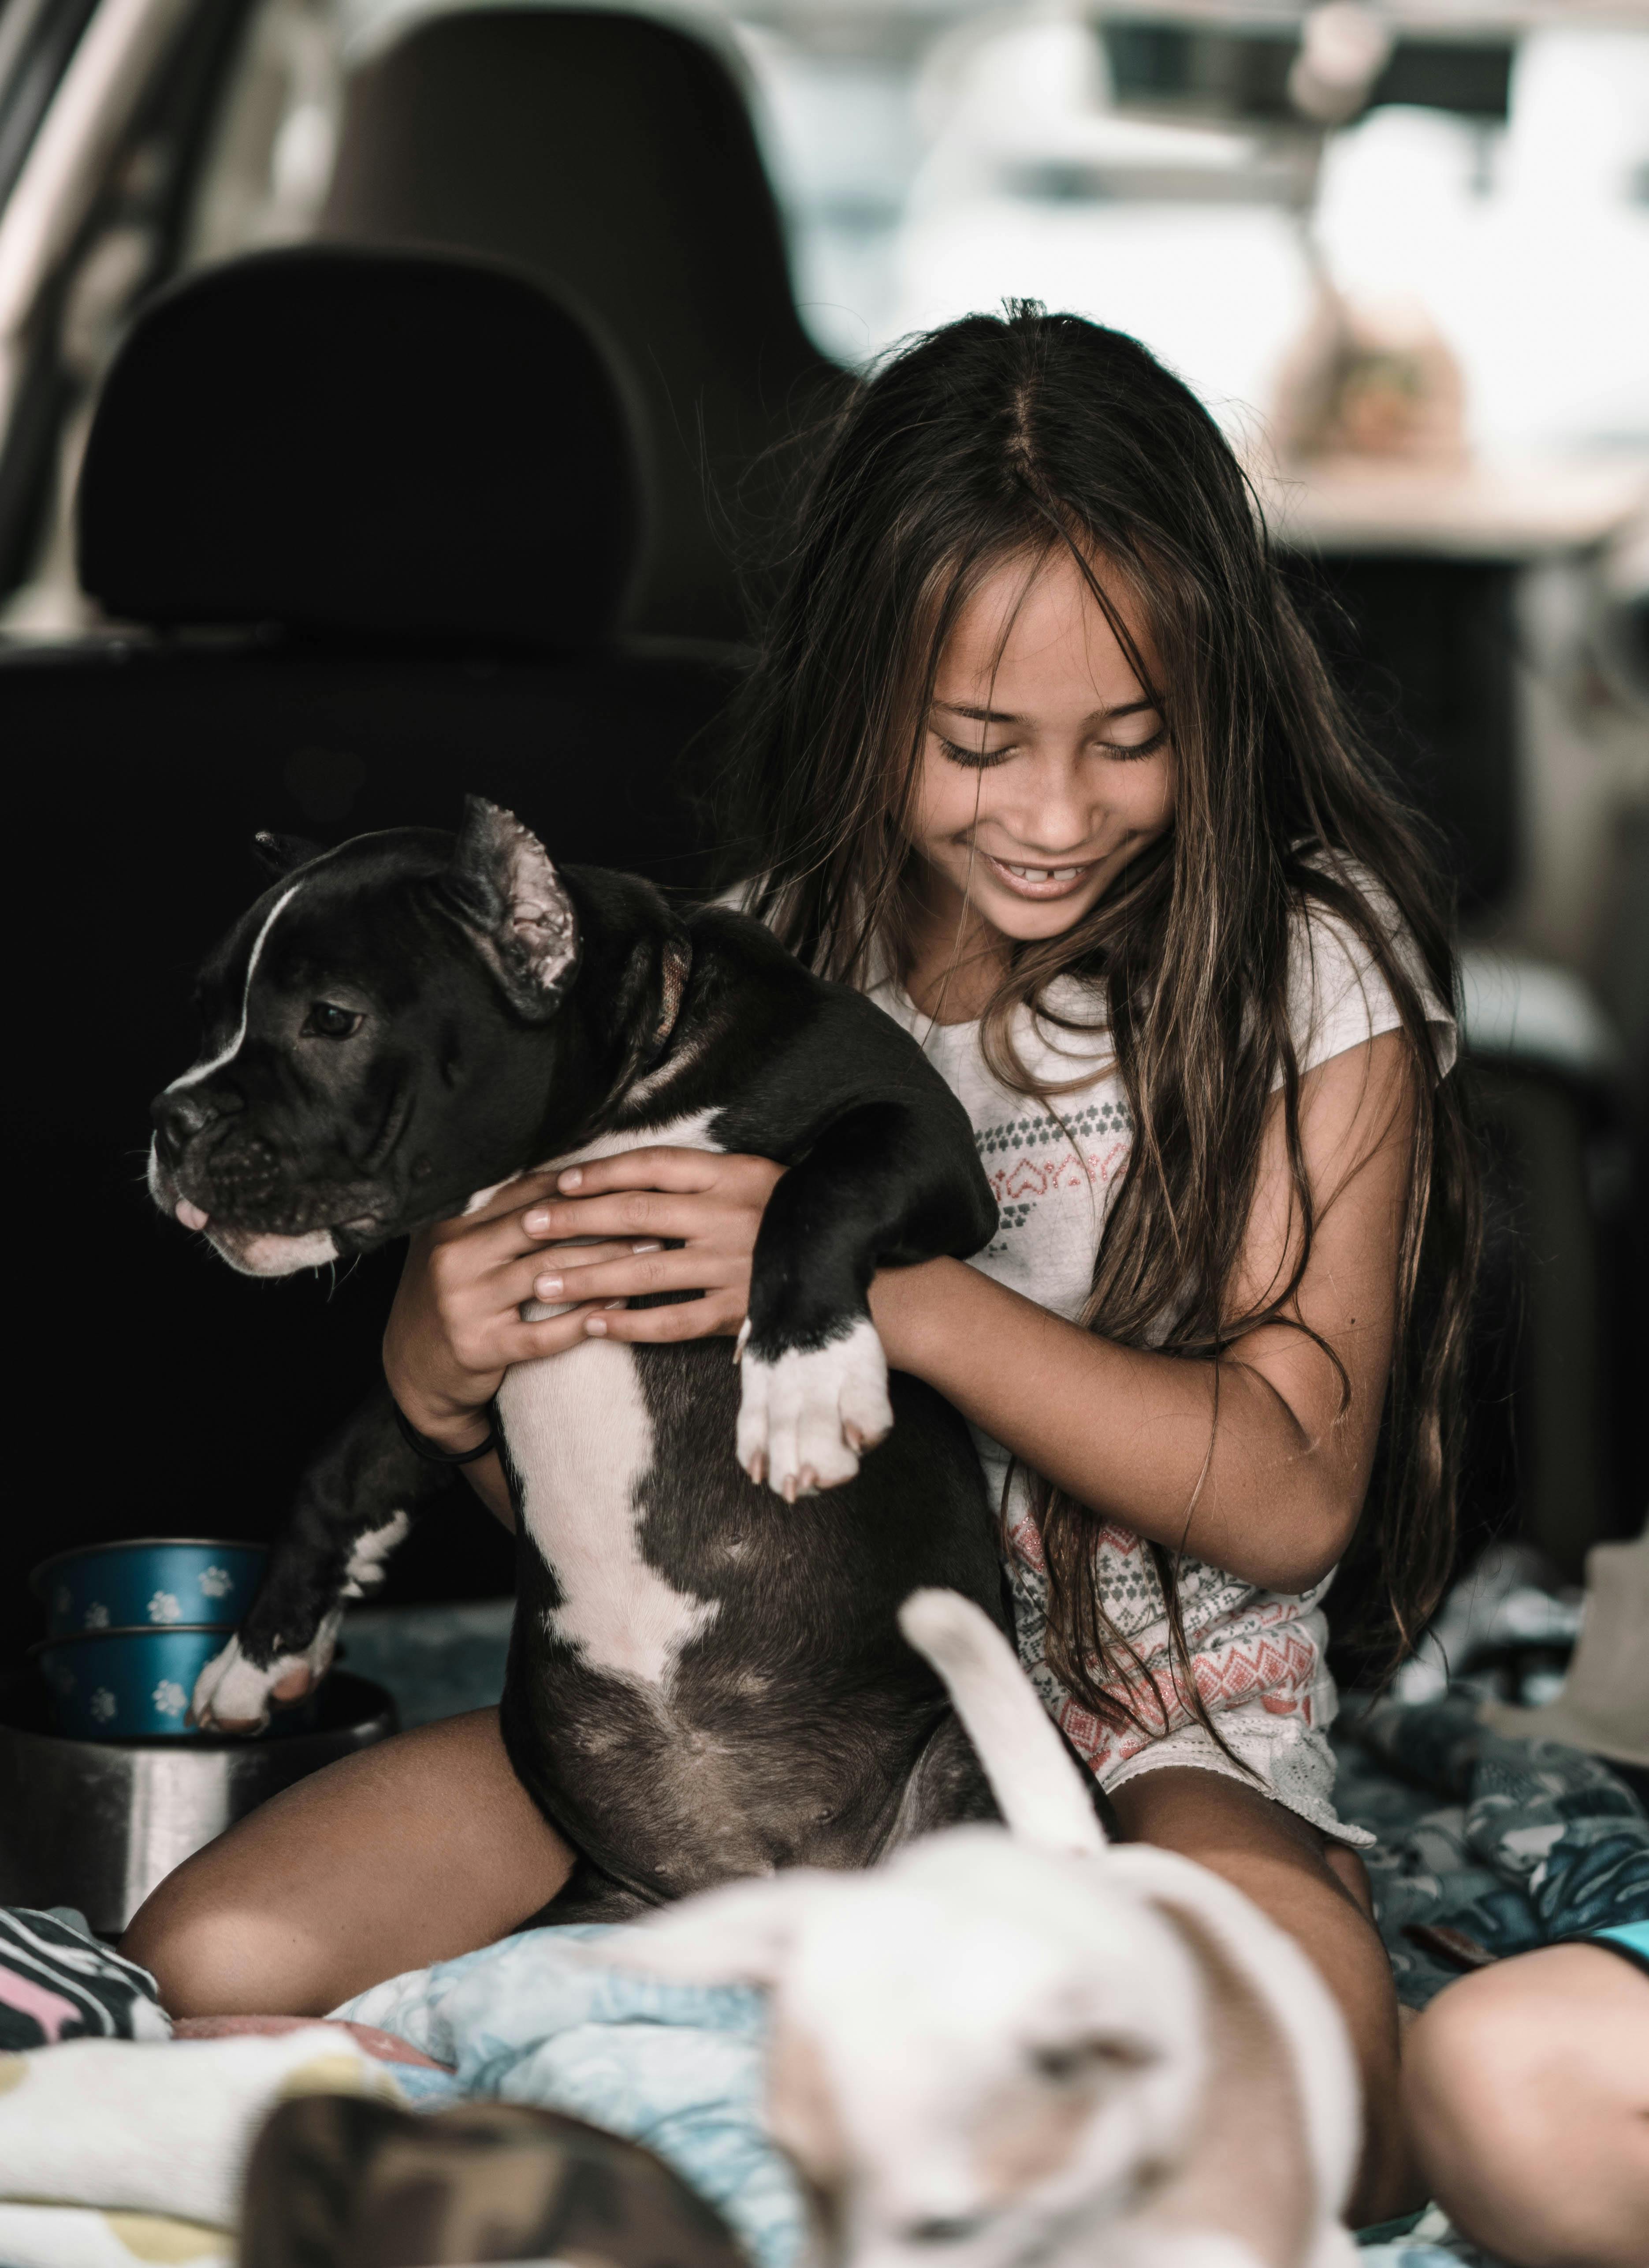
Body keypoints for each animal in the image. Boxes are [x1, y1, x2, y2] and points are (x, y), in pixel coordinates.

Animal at [145, 798, 1020, 1914]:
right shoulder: (459, 1352)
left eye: (331, 1020)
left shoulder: (924, 1138)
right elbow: (342, 1468)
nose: (172, 1118)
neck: (601, 1120)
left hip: (967, 1754)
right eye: (210, 1016)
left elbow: (812, 1191)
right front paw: (261, 1656)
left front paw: (803, 1381)